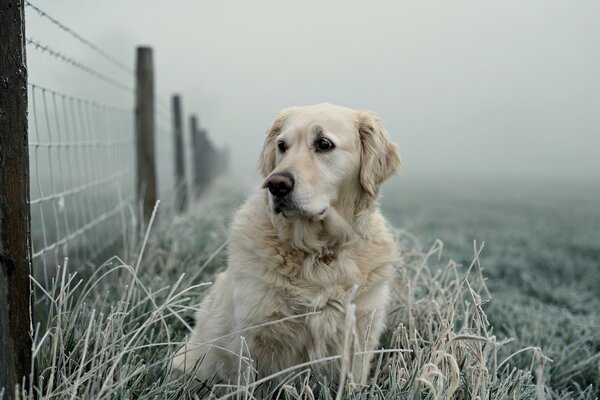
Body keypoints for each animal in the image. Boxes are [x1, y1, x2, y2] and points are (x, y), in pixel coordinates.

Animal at [171, 103, 400, 388]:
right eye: (282, 146)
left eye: (323, 143)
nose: (276, 184)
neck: (319, 253)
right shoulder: (253, 338)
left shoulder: (360, 332)